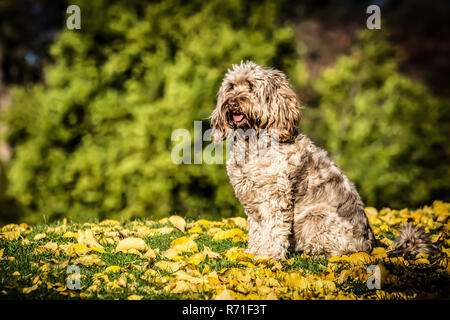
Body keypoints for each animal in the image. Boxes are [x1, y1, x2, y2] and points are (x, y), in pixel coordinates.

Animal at [209, 60, 438, 260]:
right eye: (231, 86)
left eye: (250, 86)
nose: (232, 102)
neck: (252, 140)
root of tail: (370, 245)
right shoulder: (252, 198)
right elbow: (257, 229)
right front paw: (253, 252)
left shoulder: (274, 197)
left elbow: (272, 229)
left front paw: (267, 256)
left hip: (316, 216)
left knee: (337, 250)